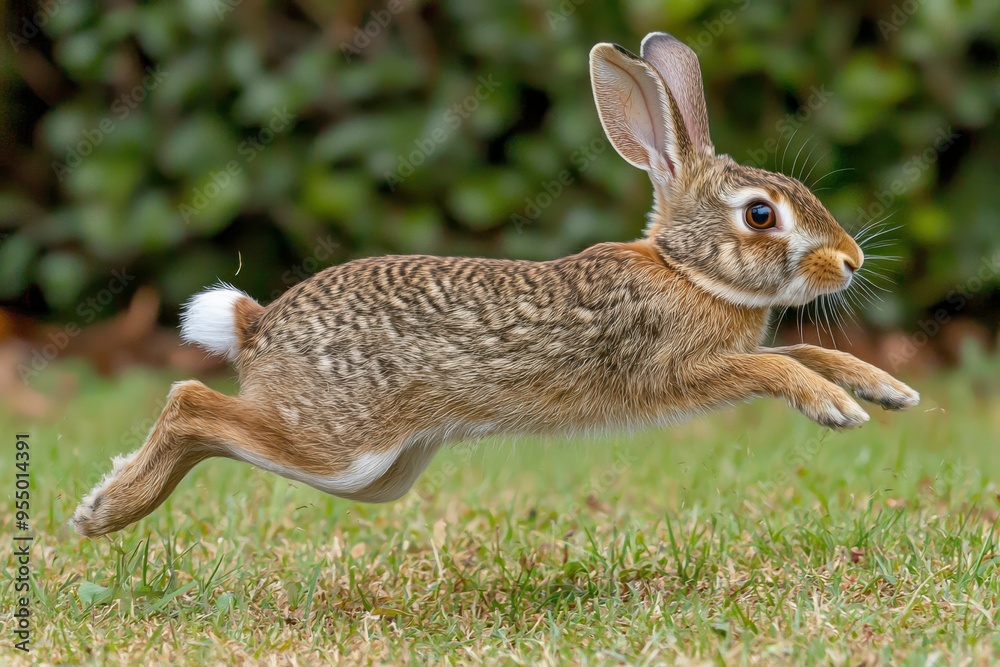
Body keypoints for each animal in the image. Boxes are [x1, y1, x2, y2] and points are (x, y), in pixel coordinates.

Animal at [72, 32, 919, 538]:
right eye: (760, 214)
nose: (851, 261)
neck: (687, 270)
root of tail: (255, 324)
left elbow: (806, 351)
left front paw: (884, 389)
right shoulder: (677, 370)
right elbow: (774, 364)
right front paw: (836, 408)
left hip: (378, 475)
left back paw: (107, 499)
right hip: (341, 446)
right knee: (191, 401)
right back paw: (104, 511)